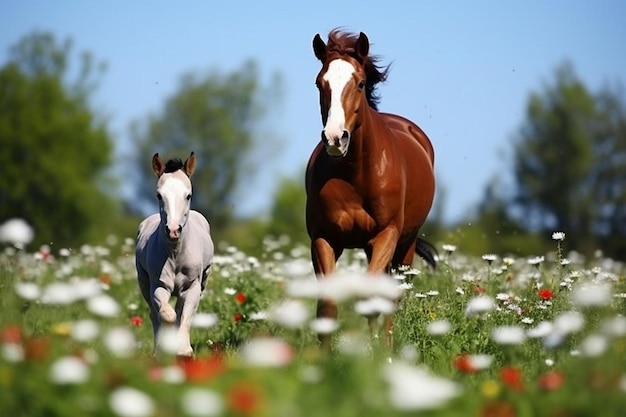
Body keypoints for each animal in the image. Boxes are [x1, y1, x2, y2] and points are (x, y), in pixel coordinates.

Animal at [304, 28, 434, 348]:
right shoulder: (324, 238)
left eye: (360, 83)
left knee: (391, 297)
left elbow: (375, 298)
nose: (335, 138)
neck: (355, 176)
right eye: (319, 83)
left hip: (404, 247)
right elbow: (327, 306)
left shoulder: (386, 235)